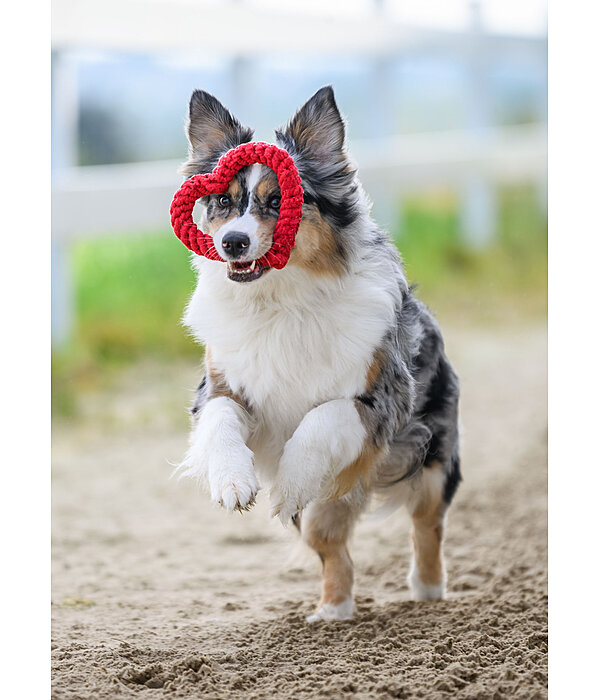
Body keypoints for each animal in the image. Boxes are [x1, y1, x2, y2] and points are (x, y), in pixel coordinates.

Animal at [176, 85, 462, 620]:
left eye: (278, 201)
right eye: (223, 200)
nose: (232, 242)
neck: (280, 302)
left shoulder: (380, 400)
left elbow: (321, 419)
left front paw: (289, 482)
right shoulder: (222, 386)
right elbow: (222, 423)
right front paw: (232, 483)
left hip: (432, 453)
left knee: (426, 522)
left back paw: (428, 588)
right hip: (331, 506)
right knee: (330, 542)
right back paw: (333, 609)